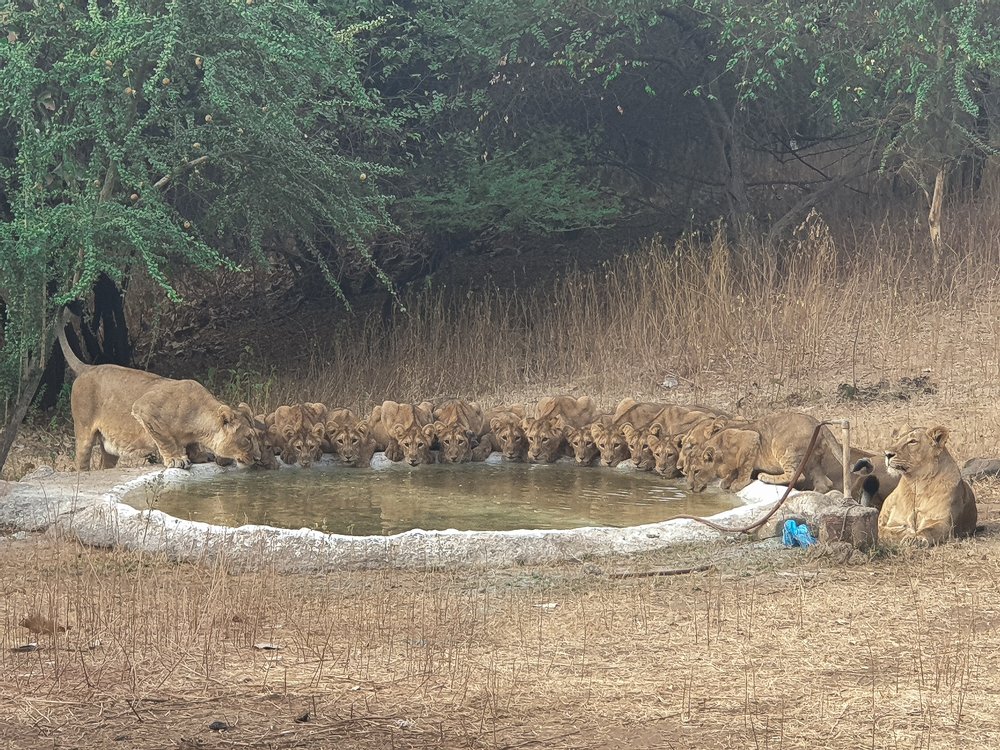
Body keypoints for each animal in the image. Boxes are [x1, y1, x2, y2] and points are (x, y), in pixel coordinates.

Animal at [58, 317, 263, 471]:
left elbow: (191, 444)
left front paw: (199, 455)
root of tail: (87, 367)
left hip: (109, 448)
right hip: (84, 431)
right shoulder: (144, 408)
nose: (259, 458)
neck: (198, 422)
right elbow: (165, 438)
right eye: (248, 439)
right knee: (81, 462)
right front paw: (176, 459)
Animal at [685, 411, 841, 493]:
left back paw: (765, 477)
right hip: (811, 460)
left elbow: (745, 467)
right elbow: (735, 470)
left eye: (696, 471)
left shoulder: (751, 438)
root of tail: (817, 423)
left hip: (782, 446)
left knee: (794, 475)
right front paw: (727, 481)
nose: (689, 487)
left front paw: (739, 483)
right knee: (825, 483)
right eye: (686, 472)